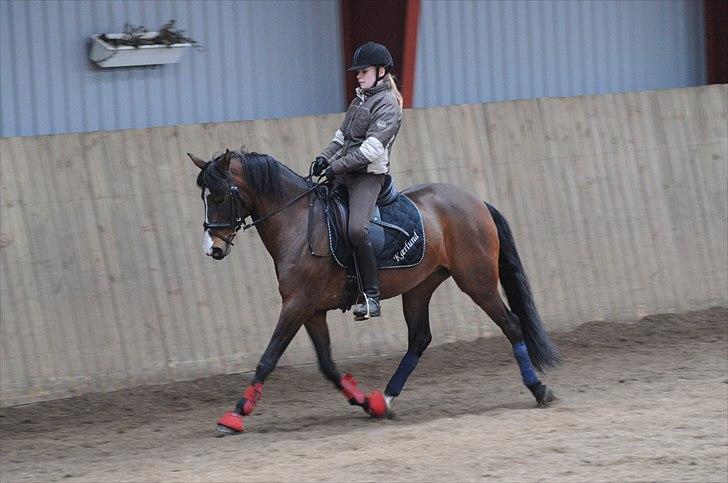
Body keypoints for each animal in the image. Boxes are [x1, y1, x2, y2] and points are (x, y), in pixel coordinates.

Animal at [187, 148, 560, 435]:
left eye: (219, 196)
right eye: (204, 198)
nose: (212, 249)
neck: (297, 221)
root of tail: (476, 201)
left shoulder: (297, 305)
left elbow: (268, 358)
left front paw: (234, 416)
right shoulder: (311, 310)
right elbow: (327, 365)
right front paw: (363, 400)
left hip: (477, 282)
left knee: (511, 325)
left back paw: (539, 389)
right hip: (419, 288)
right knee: (419, 339)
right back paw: (385, 401)